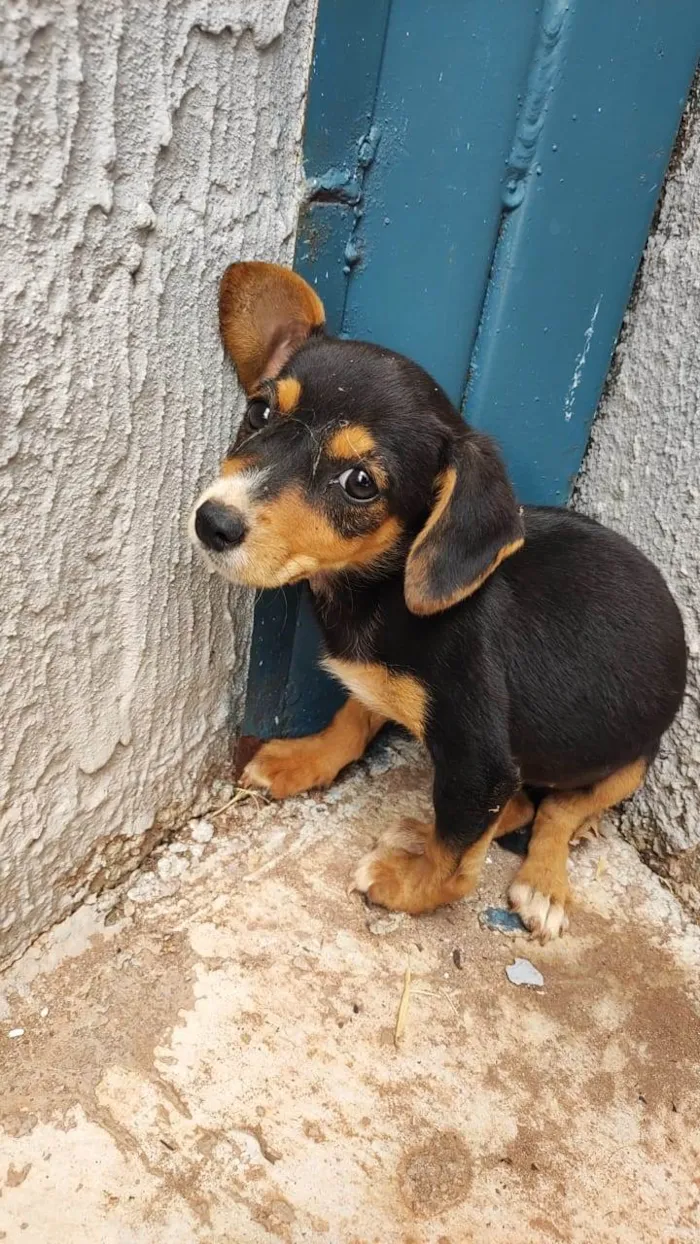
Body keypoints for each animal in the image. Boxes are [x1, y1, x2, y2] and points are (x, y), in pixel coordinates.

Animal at [188, 264, 686, 940]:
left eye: (360, 484)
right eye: (259, 410)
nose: (213, 523)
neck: (379, 590)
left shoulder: (479, 760)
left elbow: (457, 864)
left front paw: (406, 887)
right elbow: (354, 716)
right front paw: (305, 759)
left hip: (629, 761)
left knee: (557, 811)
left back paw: (541, 881)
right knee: (522, 805)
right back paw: (417, 827)